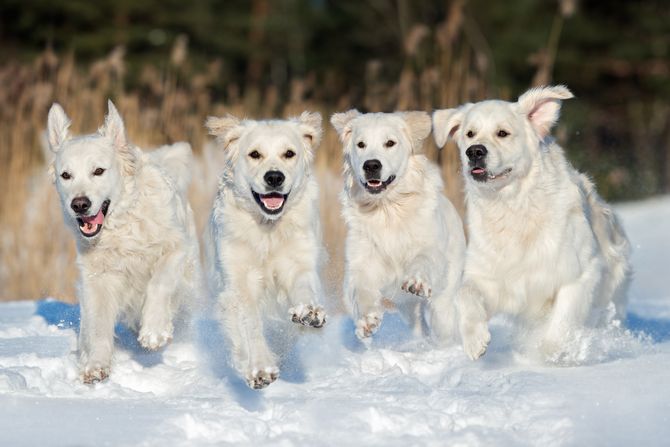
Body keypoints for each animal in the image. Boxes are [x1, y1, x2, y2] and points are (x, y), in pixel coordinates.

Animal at [47, 100, 201, 384]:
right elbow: (98, 325)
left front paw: (154, 331)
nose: (79, 204)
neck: (121, 227)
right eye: (66, 175)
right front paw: (95, 366)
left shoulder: (176, 248)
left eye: (98, 171)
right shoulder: (97, 278)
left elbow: (159, 283)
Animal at [207, 111, 328, 388]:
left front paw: (309, 312)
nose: (274, 177)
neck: (269, 228)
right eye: (255, 154)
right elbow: (250, 323)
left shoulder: (299, 261)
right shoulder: (239, 280)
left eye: (289, 153)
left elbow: (304, 287)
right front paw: (260, 368)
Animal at [330, 111, 468, 344]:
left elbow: (424, 258)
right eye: (360, 144)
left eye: (390, 143)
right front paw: (367, 320)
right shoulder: (361, 262)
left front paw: (416, 281)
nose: (371, 165)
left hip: (444, 302)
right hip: (407, 308)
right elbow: (360, 290)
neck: (388, 210)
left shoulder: (429, 247)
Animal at [434, 86, 632, 362]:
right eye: (469, 133)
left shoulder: (579, 274)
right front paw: (475, 341)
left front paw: (548, 354)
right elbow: (466, 294)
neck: (514, 206)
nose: (474, 151)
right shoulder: (492, 278)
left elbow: (562, 321)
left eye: (503, 133)